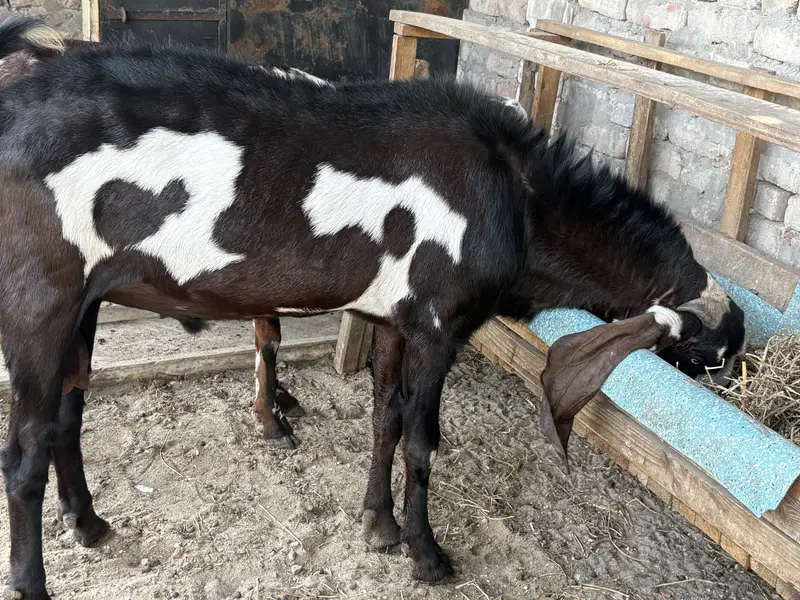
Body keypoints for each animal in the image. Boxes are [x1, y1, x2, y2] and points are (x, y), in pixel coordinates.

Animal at [0, 23, 744, 597]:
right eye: (712, 354)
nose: (743, 376)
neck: (517, 195)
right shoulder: (441, 324)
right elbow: (422, 438)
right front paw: (428, 555)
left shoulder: (395, 317)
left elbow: (385, 418)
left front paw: (379, 526)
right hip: (38, 304)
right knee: (22, 456)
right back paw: (36, 580)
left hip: (82, 303)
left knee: (68, 411)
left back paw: (89, 524)